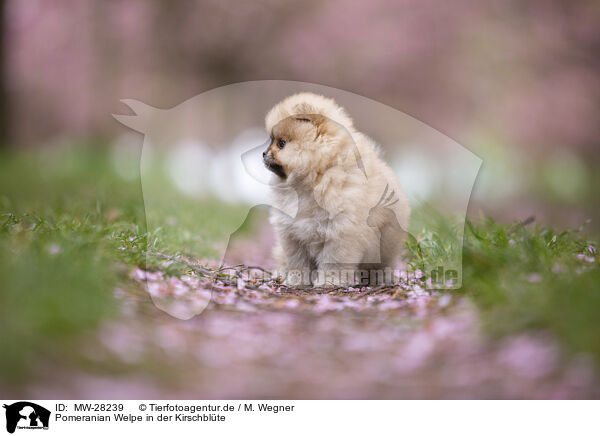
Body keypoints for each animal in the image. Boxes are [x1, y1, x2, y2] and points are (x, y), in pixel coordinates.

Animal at [264, 92, 410, 286]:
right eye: (271, 141)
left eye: (281, 143)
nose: (263, 153)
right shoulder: (292, 234)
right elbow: (298, 261)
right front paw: (296, 281)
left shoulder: (340, 233)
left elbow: (333, 262)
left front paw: (329, 282)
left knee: (381, 264)